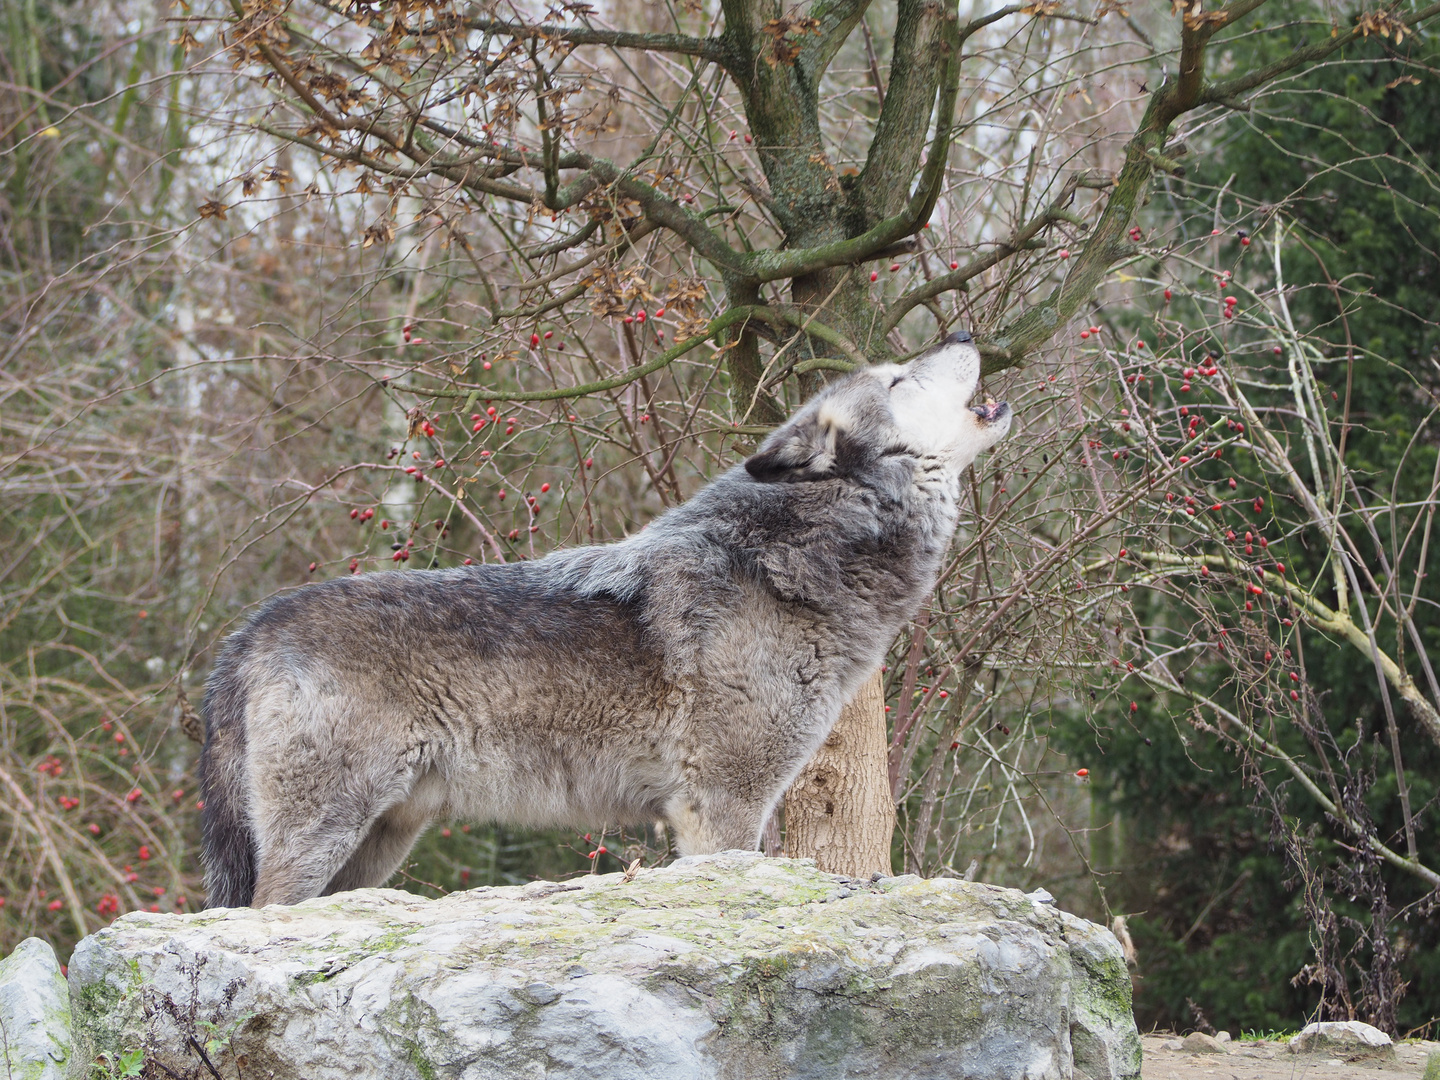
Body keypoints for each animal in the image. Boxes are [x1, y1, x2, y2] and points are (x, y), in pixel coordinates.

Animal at [200, 334, 1013, 910]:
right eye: (900, 380)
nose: (966, 330)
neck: (787, 559)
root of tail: (252, 629)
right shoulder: (723, 806)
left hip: (377, 845)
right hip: (324, 833)